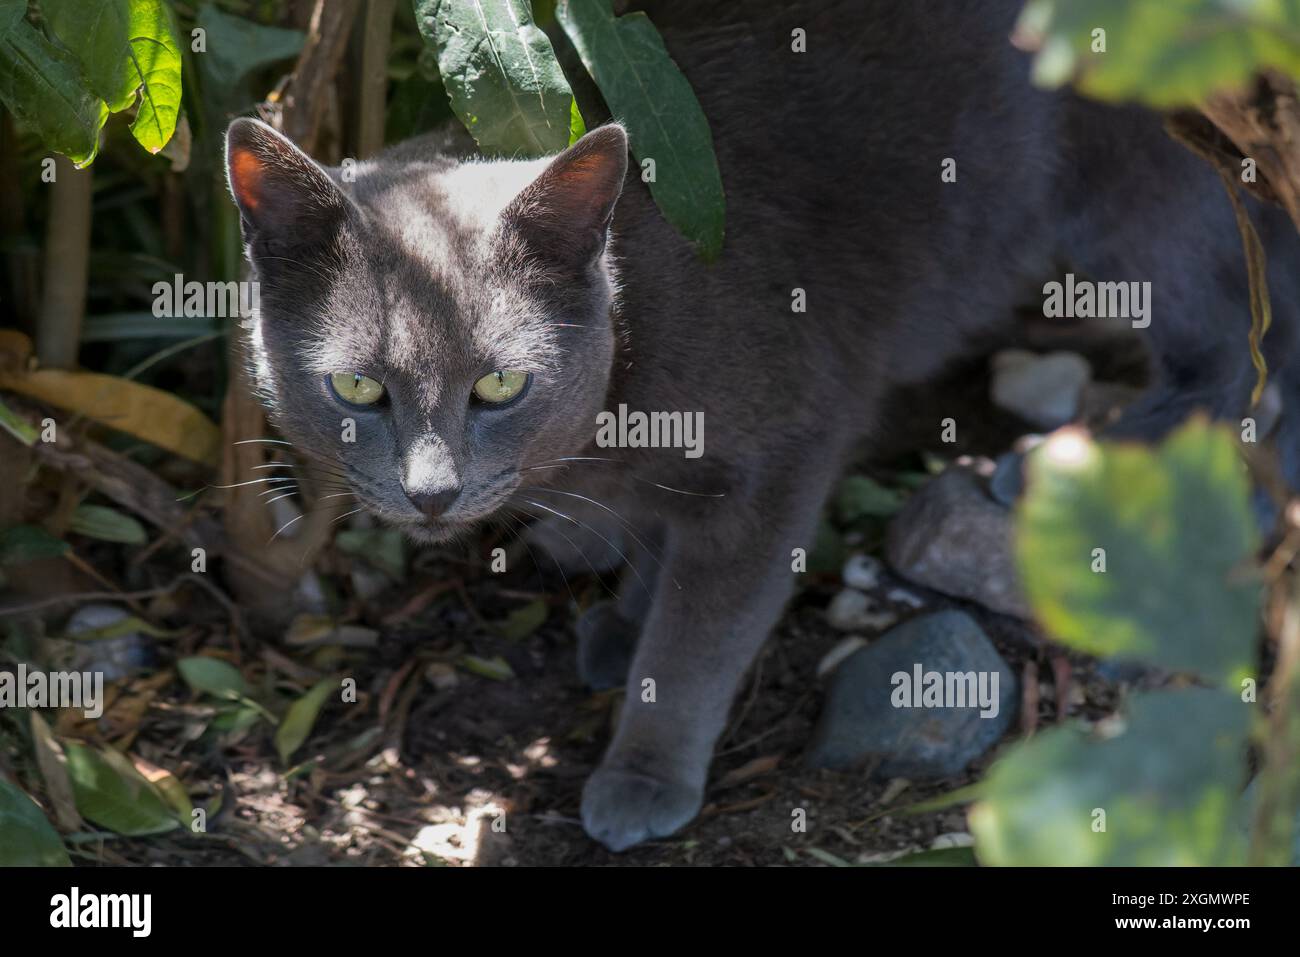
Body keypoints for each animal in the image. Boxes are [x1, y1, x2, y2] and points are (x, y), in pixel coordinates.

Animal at [228, 0, 1300, 852]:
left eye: (500, 384)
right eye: (357, 388)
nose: (432, 491)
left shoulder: (783, 453)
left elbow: (701, 637)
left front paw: (644, 766)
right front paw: (624, 611)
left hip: (1143, 175)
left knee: (1245, 342)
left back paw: (1072, 466)